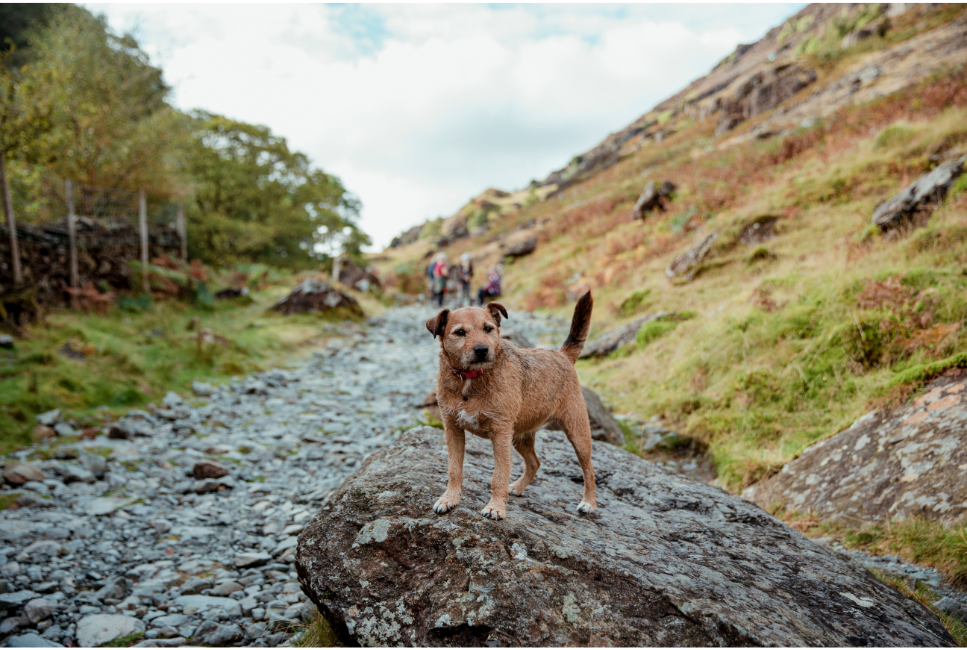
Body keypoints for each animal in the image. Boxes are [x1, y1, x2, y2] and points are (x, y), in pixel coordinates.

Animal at [426, 292, 592, 520]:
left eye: (488, 329)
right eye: (460, 332)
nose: (482, 350)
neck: (470, 379)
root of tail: (562, 355)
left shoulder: (501, 434)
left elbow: (499, 476)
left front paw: (496, 507)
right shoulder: (453, 429)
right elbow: (454, 469)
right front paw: (449, 499)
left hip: (577, 433)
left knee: (589, 470)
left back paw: (589, 503)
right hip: (520, 436)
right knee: (535, 463)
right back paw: (518, 487)